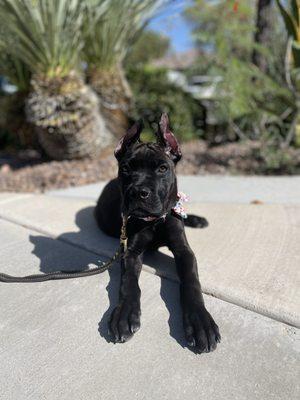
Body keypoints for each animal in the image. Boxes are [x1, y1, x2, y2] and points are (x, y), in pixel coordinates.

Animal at [95, 113, 220, 354]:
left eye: (162, 169)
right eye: (126, 168)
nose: (137, 192)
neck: (154, 221)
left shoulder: (184, 250)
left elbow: (191, 281)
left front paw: (200, 322)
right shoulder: (131, 251)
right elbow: (128, 283)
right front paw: (124, 314)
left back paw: (197, 219)